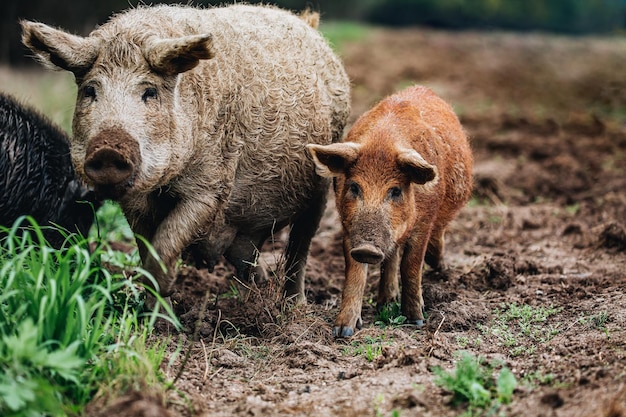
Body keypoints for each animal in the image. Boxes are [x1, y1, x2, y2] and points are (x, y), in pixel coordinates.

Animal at [20, 4, 352, 298]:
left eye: (149, 92)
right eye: (90, 90)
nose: (108, 150)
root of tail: (307, 24)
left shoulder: (211, 188)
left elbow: (167, 242)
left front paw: (163, 300)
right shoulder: (135, 201)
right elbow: (148, 250)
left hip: (322, 183)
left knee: (300, 247)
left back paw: (293, 304)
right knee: (248, 257)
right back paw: (253, 296)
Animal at [304, 86, 470, 336]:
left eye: (395, 190)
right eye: (354, 186)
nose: (367, 248)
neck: (382, 142)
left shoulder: (424, 223)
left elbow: (411, 266)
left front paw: (417, 321)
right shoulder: (349, 227)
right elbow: (355, 271)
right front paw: (343, 331)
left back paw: (438, 270)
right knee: (391, 256)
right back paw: (385, 303)